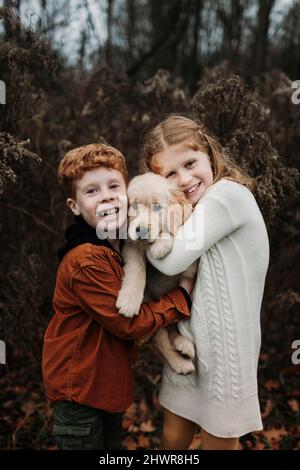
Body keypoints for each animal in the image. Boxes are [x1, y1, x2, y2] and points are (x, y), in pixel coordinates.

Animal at [116, 172, 197, 374]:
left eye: (158, 207)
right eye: (133, 206)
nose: (142, 230)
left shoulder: (192, 265)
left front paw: (160, 244)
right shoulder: (130, 245)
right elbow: (137, 268)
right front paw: (129, 300)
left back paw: (183, 346)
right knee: (161, 338)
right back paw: (181, 362)